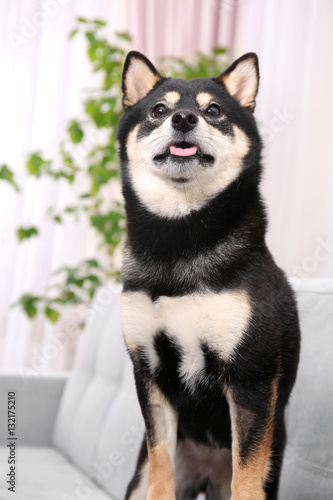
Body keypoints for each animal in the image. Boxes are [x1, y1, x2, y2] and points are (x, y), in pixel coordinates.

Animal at [118, 50, 300, 500]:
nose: (183, 118)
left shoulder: (252, 378)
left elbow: (246, 476)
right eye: (158, 110)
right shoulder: (150, 374)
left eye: (213, 110)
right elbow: (160, 469)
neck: (180, 239)